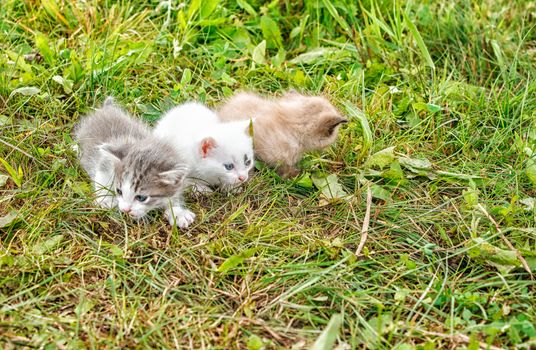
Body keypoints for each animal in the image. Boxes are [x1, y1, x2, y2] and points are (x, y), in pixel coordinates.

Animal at [73, 98, 195, 228]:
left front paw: (178, 211)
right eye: (119, 191)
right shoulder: (106, 161)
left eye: (141, 198)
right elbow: (102, 175)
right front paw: (105, 199)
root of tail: (106, 109)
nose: (125, 210)